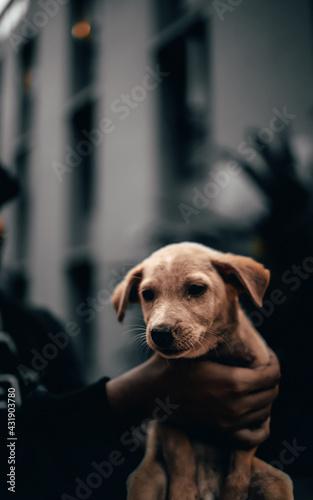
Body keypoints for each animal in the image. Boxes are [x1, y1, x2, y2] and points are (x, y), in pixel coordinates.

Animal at [111, 243, 292, 500]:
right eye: (147, 294)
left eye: (196, 289)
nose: (160, 333)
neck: (207, 353)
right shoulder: (168, 419)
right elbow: (181, 458)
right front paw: (184, 492)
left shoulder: (252, 424)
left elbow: (240, 464)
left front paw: (234, 493)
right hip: (144, 481)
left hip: (277, 481)